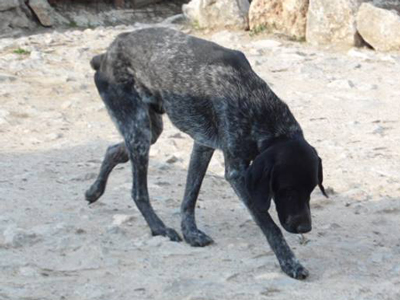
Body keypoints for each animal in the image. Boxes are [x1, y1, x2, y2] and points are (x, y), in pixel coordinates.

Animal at [84, 27, 328, 280]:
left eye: (311, 189)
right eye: (287, 190)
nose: (305, 228)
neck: (258, 106)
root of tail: (106, 54)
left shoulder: (203, 145)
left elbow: (190, 195)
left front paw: (190, 232)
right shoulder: (237, 174)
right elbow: (269, 224)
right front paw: (290, 262)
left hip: (148, 131)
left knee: (113, 150)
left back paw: (94, 190)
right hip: (139, 131)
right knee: (138, 192)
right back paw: (159, 228)